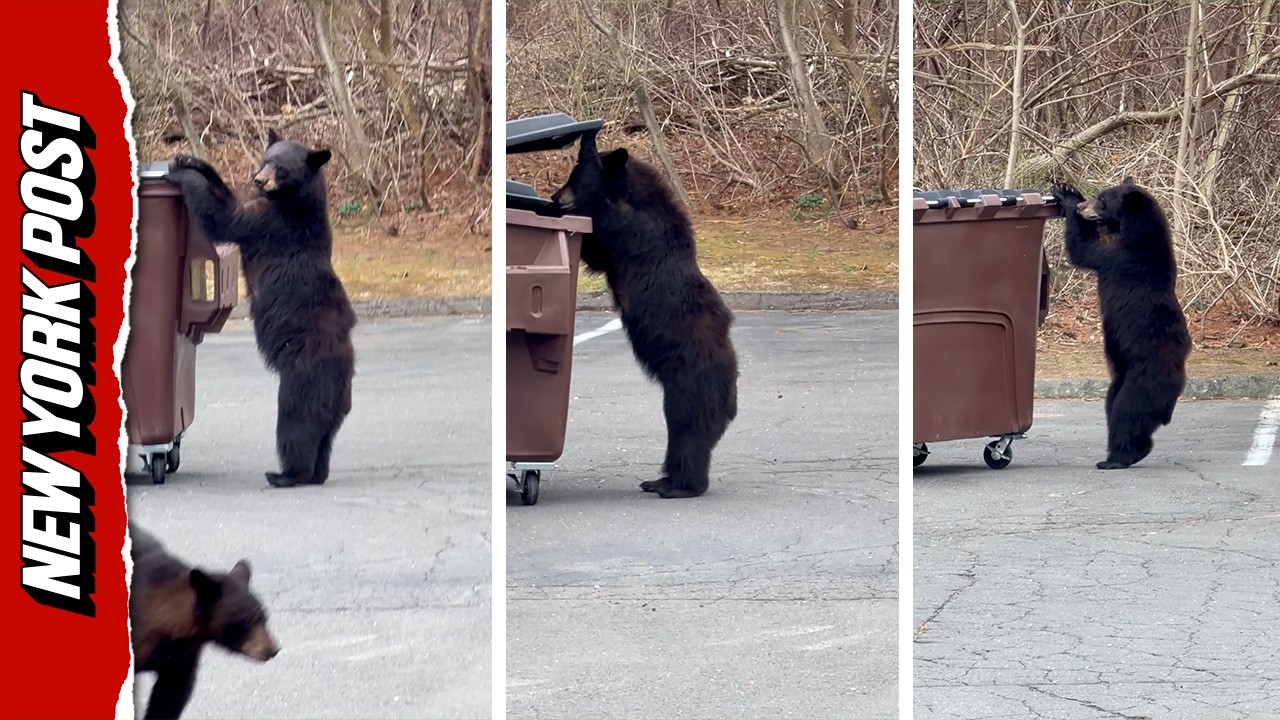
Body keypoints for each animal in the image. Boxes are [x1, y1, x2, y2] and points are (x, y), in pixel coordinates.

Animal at [166, 129, 356, 488]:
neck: (294, 202)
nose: (258, 179)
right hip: (333, 403)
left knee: (296, 426)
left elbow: (226, 216)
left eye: (281, 168)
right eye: (265, 159)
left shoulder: (270, 222)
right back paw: (316, 474)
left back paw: (285, 474)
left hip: (302, 380)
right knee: (325, 437)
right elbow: (228, 196)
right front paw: (189, 159)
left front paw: (182, 174)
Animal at [550, 130, 738, 498]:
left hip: (689, 383)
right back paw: (661, 479)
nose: (555, 196)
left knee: (687, 430)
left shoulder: (632, 228)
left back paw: (678, 485)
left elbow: (601, 230)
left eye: (573, 179)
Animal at [1051, 178, 1191, 469]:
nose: (1083, 207)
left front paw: (1066, 196)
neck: (1135, 233)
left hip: (1141, 381)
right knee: (1116, 408)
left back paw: (1116, 459)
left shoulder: (1120, 255)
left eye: (1103, 201)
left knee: (1126, 412)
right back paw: (1132, 452)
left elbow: (1085, 249)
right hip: (1122, 377)